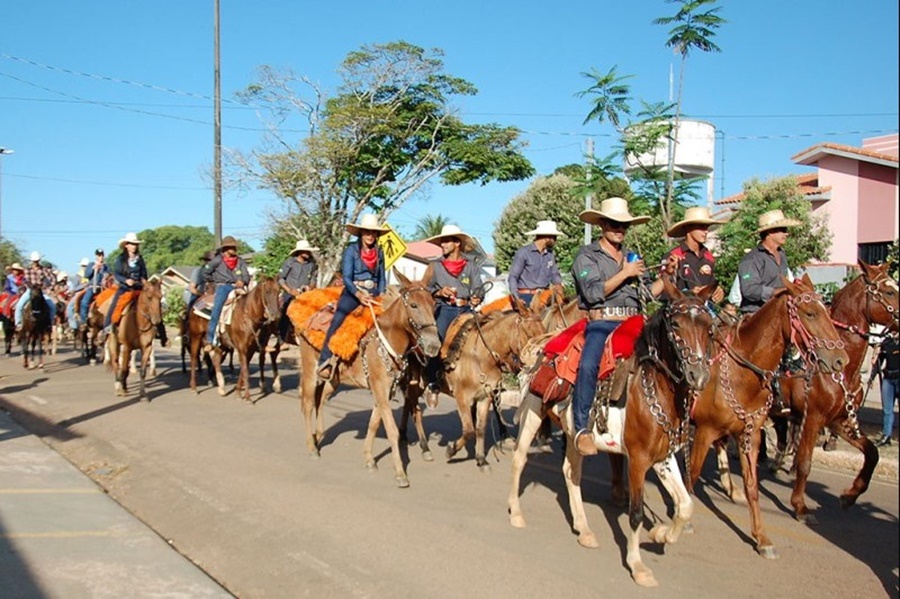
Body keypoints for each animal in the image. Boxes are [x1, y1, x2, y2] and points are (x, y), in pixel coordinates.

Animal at [298, 272, 442, 488]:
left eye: (433, 304)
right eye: (414, 305)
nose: (434, 345)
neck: (387, 340)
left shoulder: (384, 391)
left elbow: (374, 423)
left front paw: (368, 459)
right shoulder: (381, 389)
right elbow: (391, 429)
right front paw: (400, 473)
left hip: (333, 379)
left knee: (321, 400)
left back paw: (319, 434)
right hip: (309, 373)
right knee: (308, 405)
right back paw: (312, 447)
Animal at [402, 296, 548, 474]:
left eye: (544, 331)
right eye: (530, 334)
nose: (542, 364)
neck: (481, 357)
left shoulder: (484, 397)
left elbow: (479, 428)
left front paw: (481, 459)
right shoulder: (462, 398)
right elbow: (469, 430)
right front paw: (451, 450)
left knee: (408, 403)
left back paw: (403, 434)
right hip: (416, 384)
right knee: (415, 411)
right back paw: (424, 447)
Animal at [506, 278, 712, 588]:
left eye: (710, 326)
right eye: (676, 324)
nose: (697, 376)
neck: (653, 388)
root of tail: (542, 343)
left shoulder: (663, 458)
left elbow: (685, 505)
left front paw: (660, 534)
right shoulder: (638, 460)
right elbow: (636, 513)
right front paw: (638, 566)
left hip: (574, 433)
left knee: (571, 472)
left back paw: (584, 529)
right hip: (532, 412)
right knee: (520, 459)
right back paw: (516, 513)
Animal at [684, 274, 852, 560]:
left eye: (828, 313)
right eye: (810, 313)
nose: (841, 360)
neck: (742, 371)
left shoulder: (749, 434)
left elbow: (753, 486)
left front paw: (762, 538)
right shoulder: (705, 431)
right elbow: (692, 475)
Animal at [712, 260, 896, 524]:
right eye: (889, 291)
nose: (839, 359)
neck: (841, 373)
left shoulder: (838, 420)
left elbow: (872, 453)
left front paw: (849, 496)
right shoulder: (813, 419)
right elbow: (805, 462)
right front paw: (799, 505)